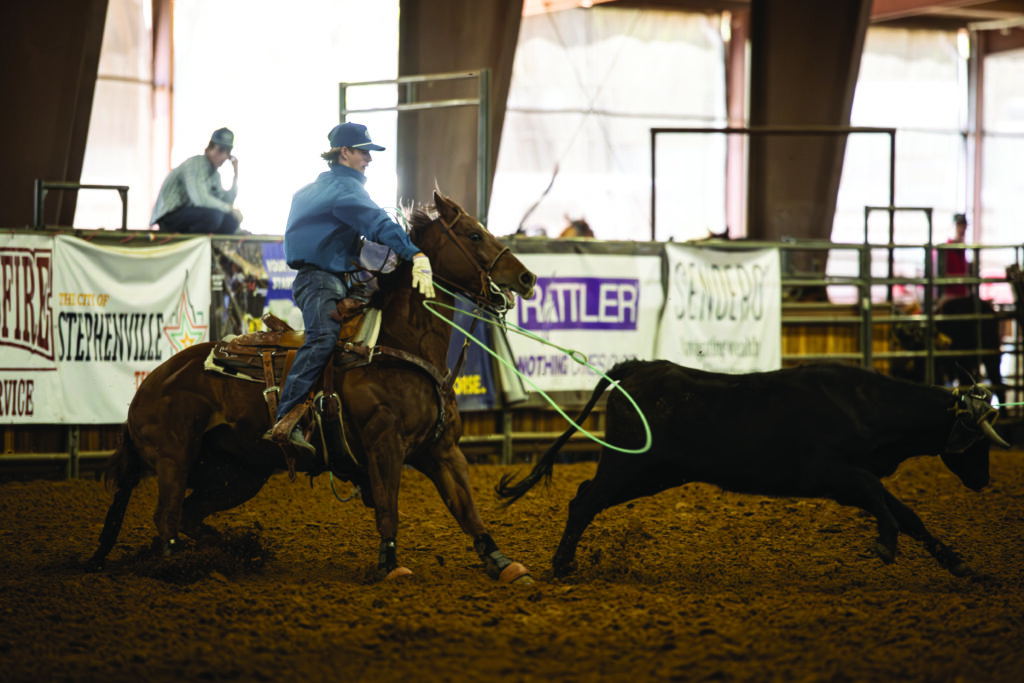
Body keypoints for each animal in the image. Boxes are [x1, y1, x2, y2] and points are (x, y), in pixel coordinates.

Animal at [87, 191, 538, 583]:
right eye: (474, 235)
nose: (527, 276)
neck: (398, 343)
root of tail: (146, 388)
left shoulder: (442, 450)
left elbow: (468, 510)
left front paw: (503, 563)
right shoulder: (384, 446)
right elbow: (388, 508)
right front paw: (391, 565)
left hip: (237, 473)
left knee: (187, 516)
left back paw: (234, 550)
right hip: (174, 459)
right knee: (166, 519)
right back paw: (176, 566)